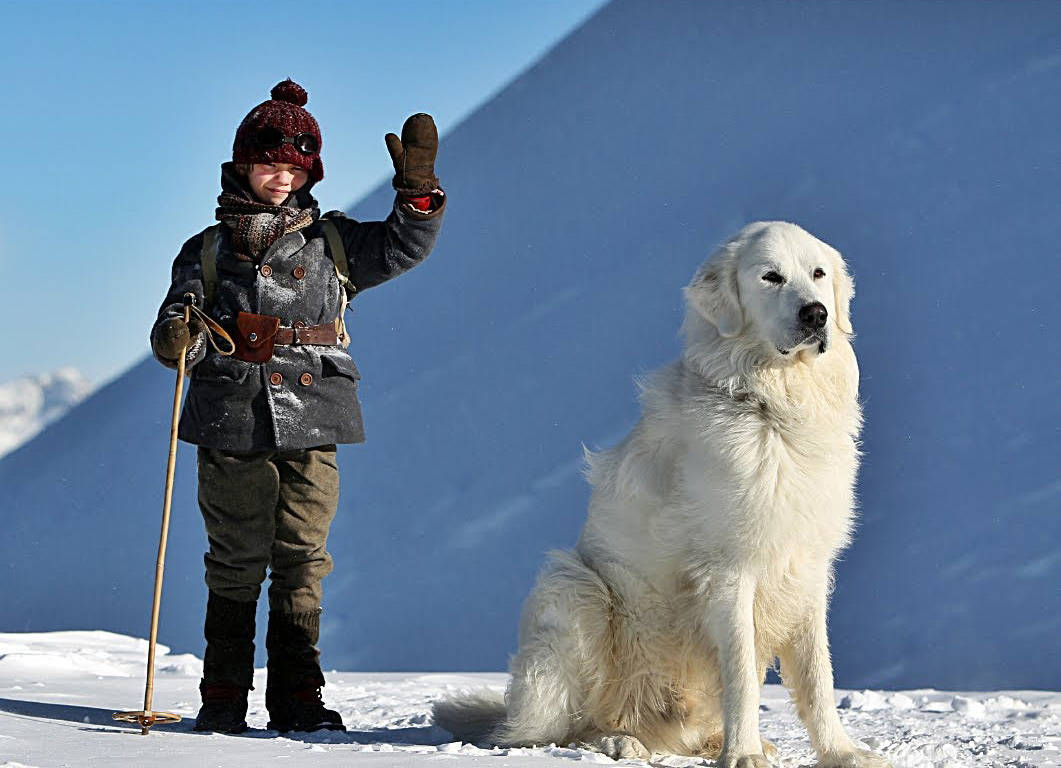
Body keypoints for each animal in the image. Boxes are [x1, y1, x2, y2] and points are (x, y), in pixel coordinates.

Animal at [435, 221, 891, 768]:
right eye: (771, 277)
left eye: (818, 274)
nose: (817, 314)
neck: (770, 405)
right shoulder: (729, 571)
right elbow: (741, 673)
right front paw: (743, 755)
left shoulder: (807, 568)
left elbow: (819, 676)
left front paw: (841, 753)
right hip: (576, 590)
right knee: (560, 730)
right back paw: (619, 740)